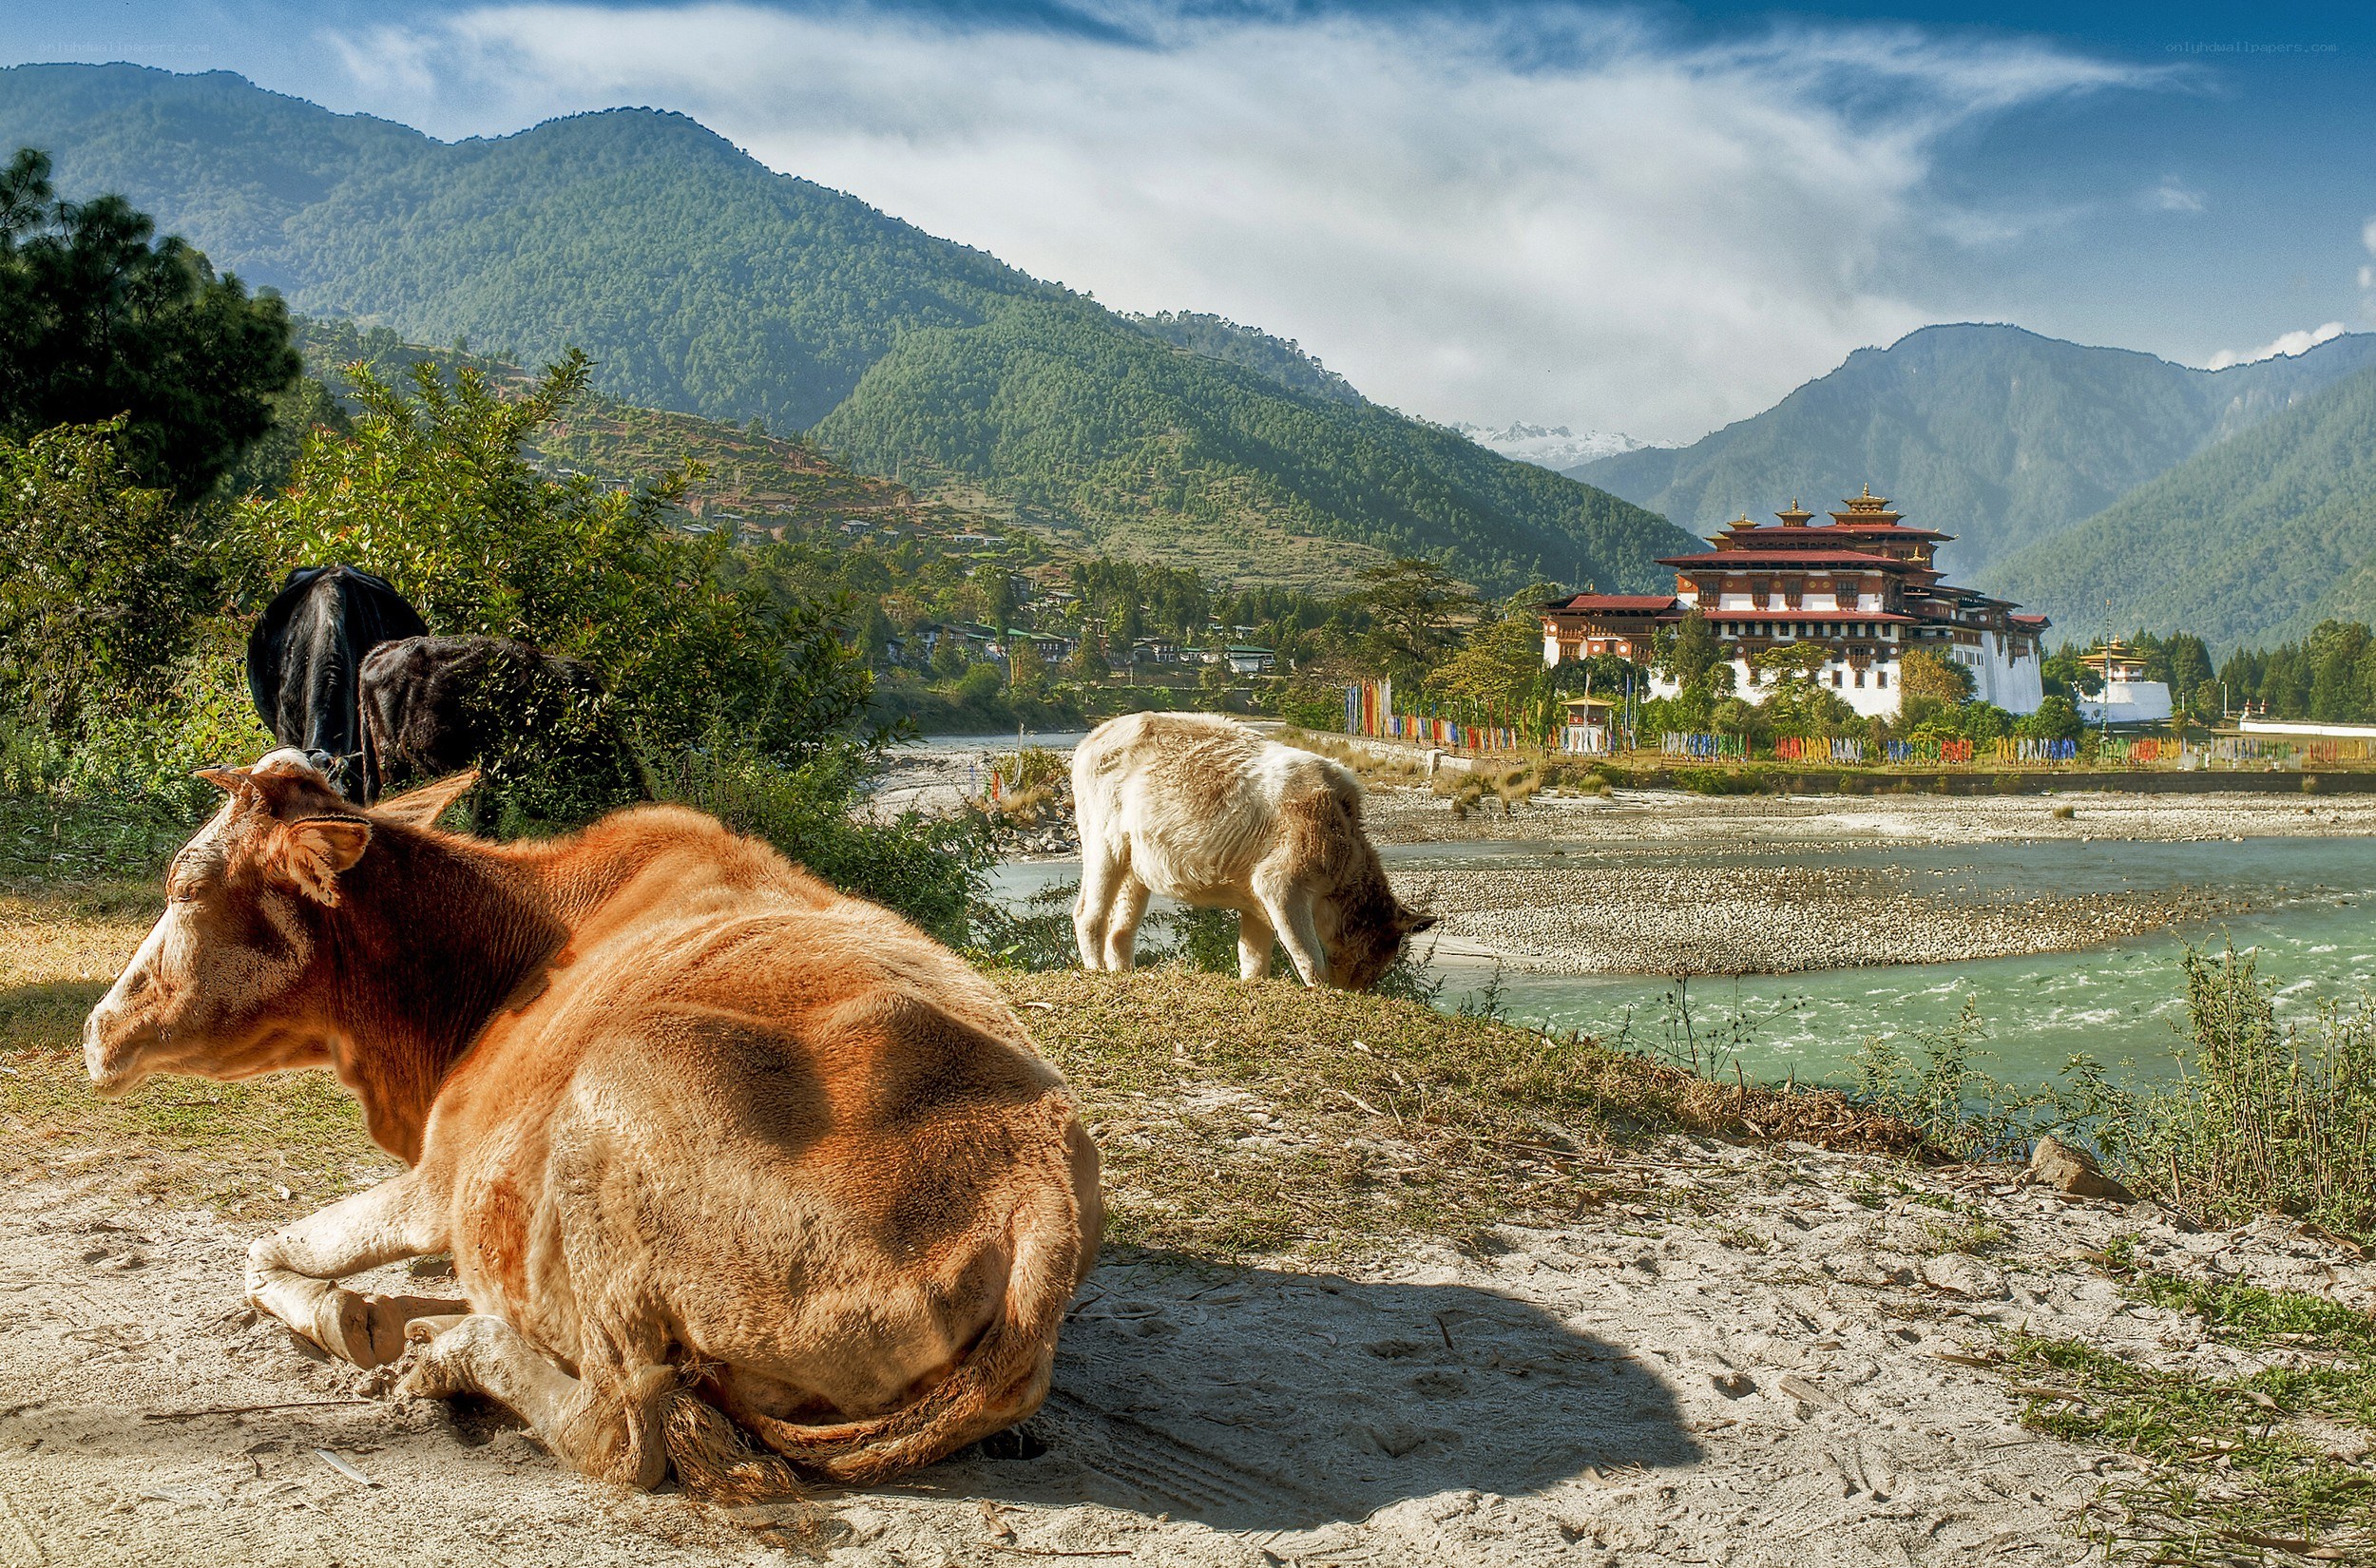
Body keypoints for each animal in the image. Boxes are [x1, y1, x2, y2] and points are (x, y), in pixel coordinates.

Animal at [82, 750, 1101, 1498]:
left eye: (183, 888)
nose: (95, 1027)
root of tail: (1036, 1179)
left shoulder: (445, 1176)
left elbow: (261, 1251)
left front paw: (353, 1318)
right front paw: (389, 1307)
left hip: (610, 1102)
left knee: (621, 1433)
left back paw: (450, 1354)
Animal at [1070, 711, 1434, 989]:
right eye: (1375, 965)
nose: (1356, 992)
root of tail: (1093, 737)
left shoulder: (1256, 903)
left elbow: (1253, 957)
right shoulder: (1284, 878)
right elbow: (1308, 957)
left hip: (1138, 861)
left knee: (1123, 925)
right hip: (1103, 838)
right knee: (1088, 911)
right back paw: (1095, 968)